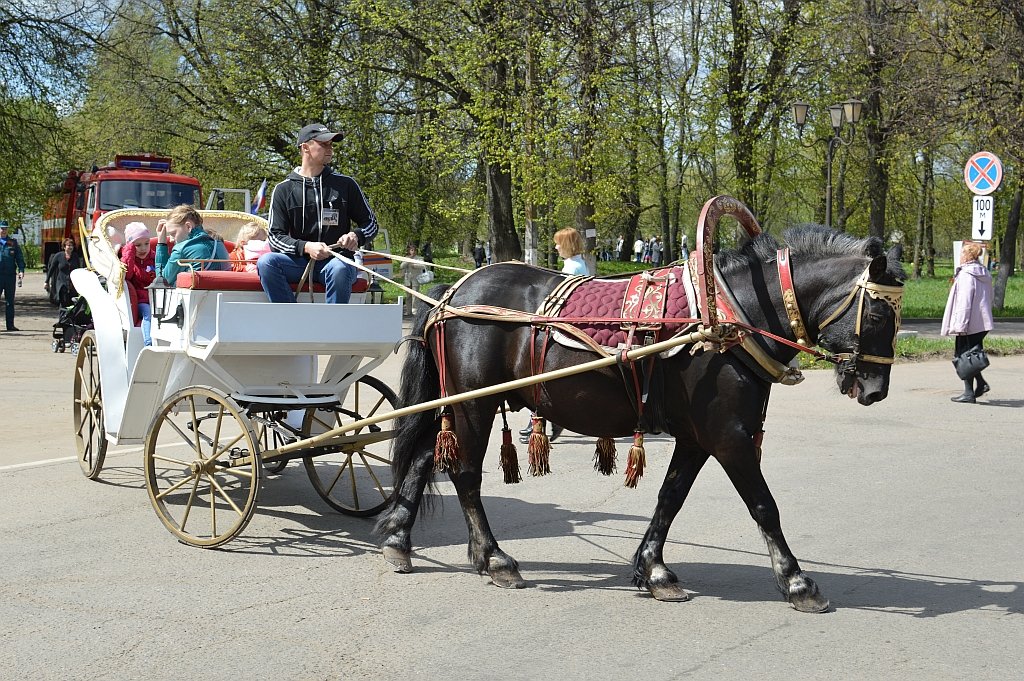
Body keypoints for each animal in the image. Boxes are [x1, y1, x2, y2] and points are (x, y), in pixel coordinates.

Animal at [376, 224, 905, 610]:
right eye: (880, 316)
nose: (876, 391)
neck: (729, 316)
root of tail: (453, 292)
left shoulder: (697, 438)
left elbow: (670, 500)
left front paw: (653, 569)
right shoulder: (729, 437)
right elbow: (764, 506)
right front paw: (796, 581)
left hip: (457, 404)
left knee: (425, 458)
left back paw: (401, 540)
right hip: (474, 401)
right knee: (464, 472)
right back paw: (493, 557)